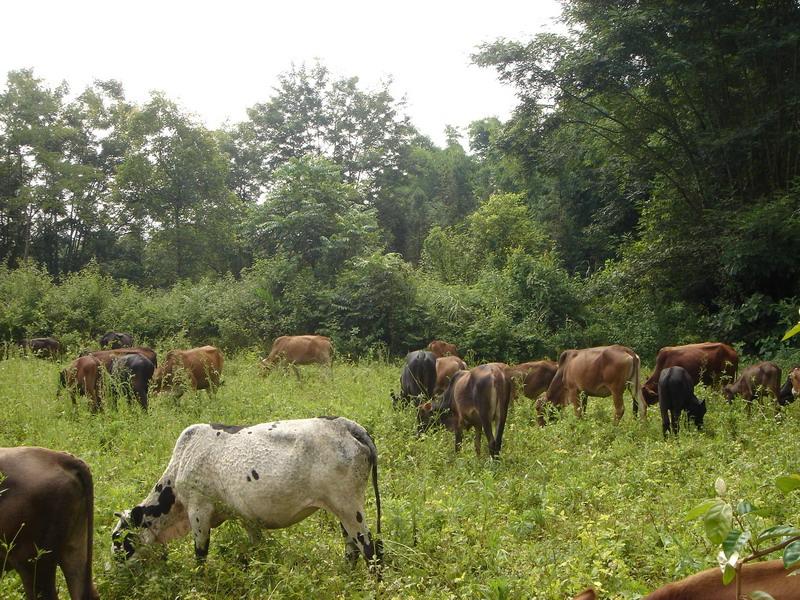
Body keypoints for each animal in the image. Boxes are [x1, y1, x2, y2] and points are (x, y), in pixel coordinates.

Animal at [111, 414, 382, 568]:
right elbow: (257, 548)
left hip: (349, 506)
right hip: (340, 509)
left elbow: (200, 555)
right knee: (351, 549)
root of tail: (348, 425)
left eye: (119, 540)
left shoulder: (199, 510)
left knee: (371, 550)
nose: (110, 571)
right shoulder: (246, 517)